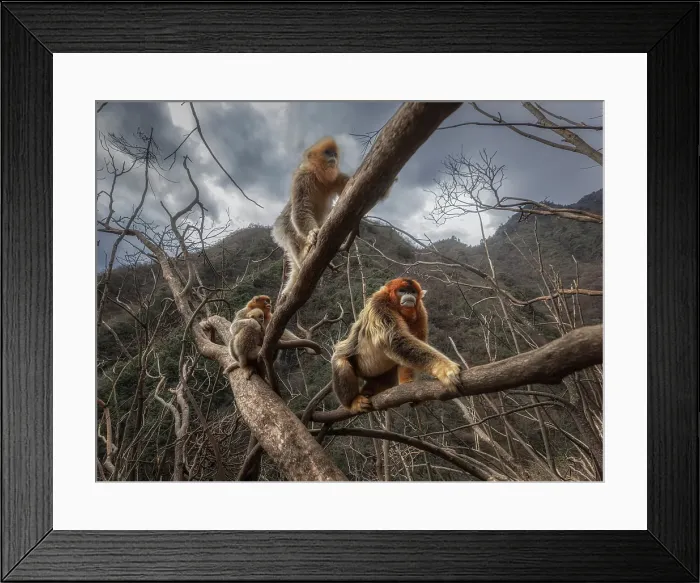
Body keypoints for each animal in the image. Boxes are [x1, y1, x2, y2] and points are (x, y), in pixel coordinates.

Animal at [271, 136, 396, 301]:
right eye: (327, 152)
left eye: (334, 154)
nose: (333, 157)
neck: (318, 177)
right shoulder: (302, 177)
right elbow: (300, 210)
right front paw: (312, 233)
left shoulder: (335, 178)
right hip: (281, 228)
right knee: (290, 234)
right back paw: (302, 258)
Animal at [331, 277, 463, 414]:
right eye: (402, 291)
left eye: (413, 292)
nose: (409, 295)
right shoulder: (379, 304)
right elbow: (396, 340)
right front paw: (444, 368)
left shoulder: (421, 312)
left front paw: (407, 383)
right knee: (341, 362)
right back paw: (352, 402)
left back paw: (369, 391)